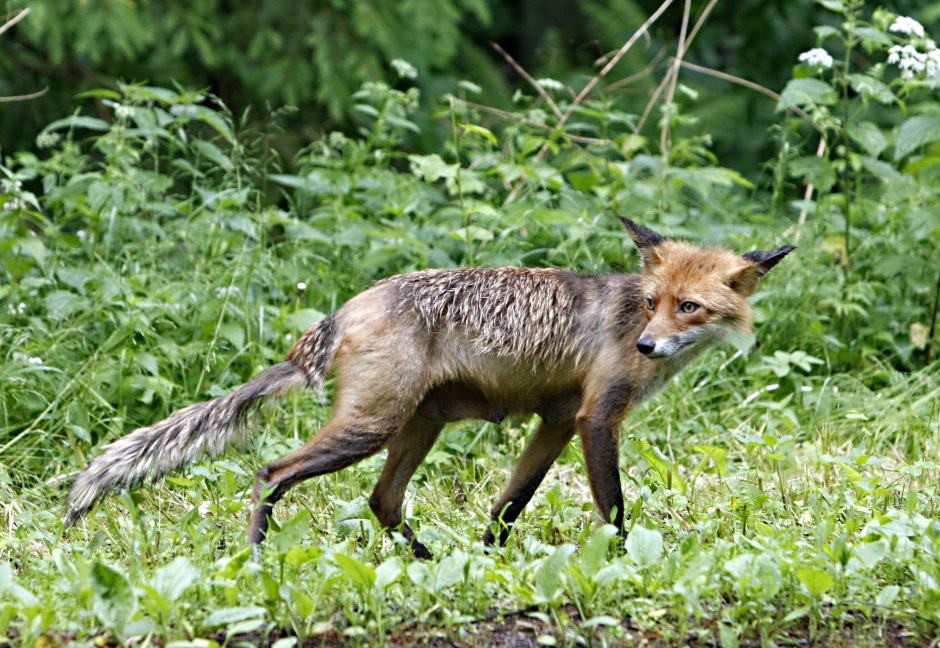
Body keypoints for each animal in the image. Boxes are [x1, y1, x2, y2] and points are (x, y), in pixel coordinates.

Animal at [62, 219, 788, 556]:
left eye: (688, 307)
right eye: (651, 303)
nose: (646, 345)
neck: (626, 320)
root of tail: (348, 306)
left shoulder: (556, 422)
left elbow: (507, 507)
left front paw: (490, 565)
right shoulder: (595, 420)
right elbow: (612, 509)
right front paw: (620, 561)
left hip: (420, 424)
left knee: (382, 501)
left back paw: (425, 559)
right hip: (371, 427)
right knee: (272, 472)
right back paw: (259, 554)